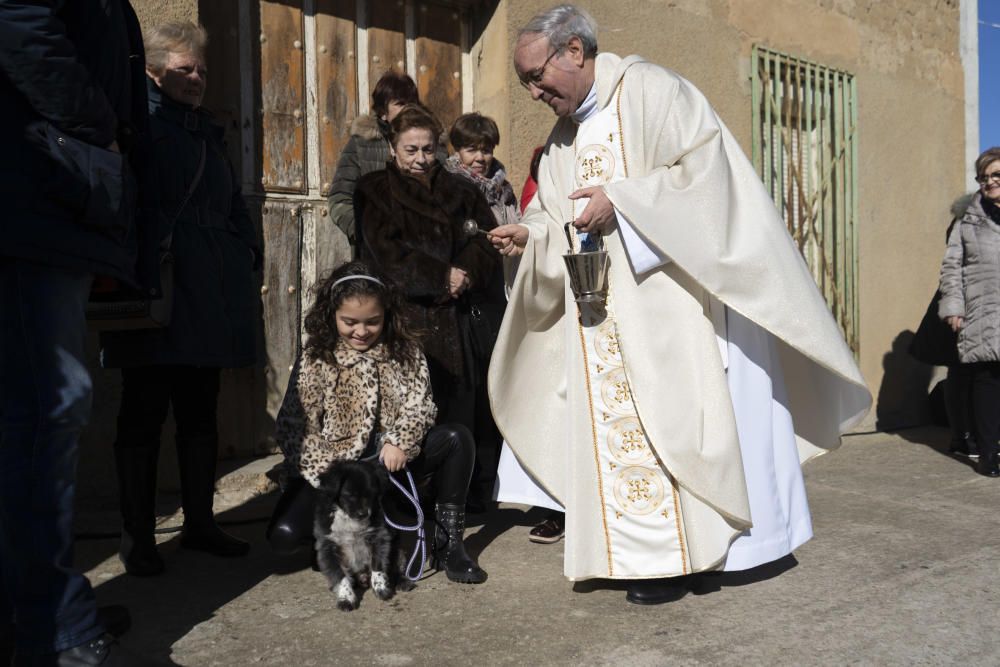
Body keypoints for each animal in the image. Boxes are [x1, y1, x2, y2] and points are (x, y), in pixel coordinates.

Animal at [310, 460, 408, 612]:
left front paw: (381, 588)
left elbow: (378, 566)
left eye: (372, 494)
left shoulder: (379, 537)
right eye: (350, 495)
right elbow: (340, 576)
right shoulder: (328, 547)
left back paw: (402, 582)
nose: (364, 514)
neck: (349, 519)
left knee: (397, 567)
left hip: (398, 548)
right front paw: (346, 598)